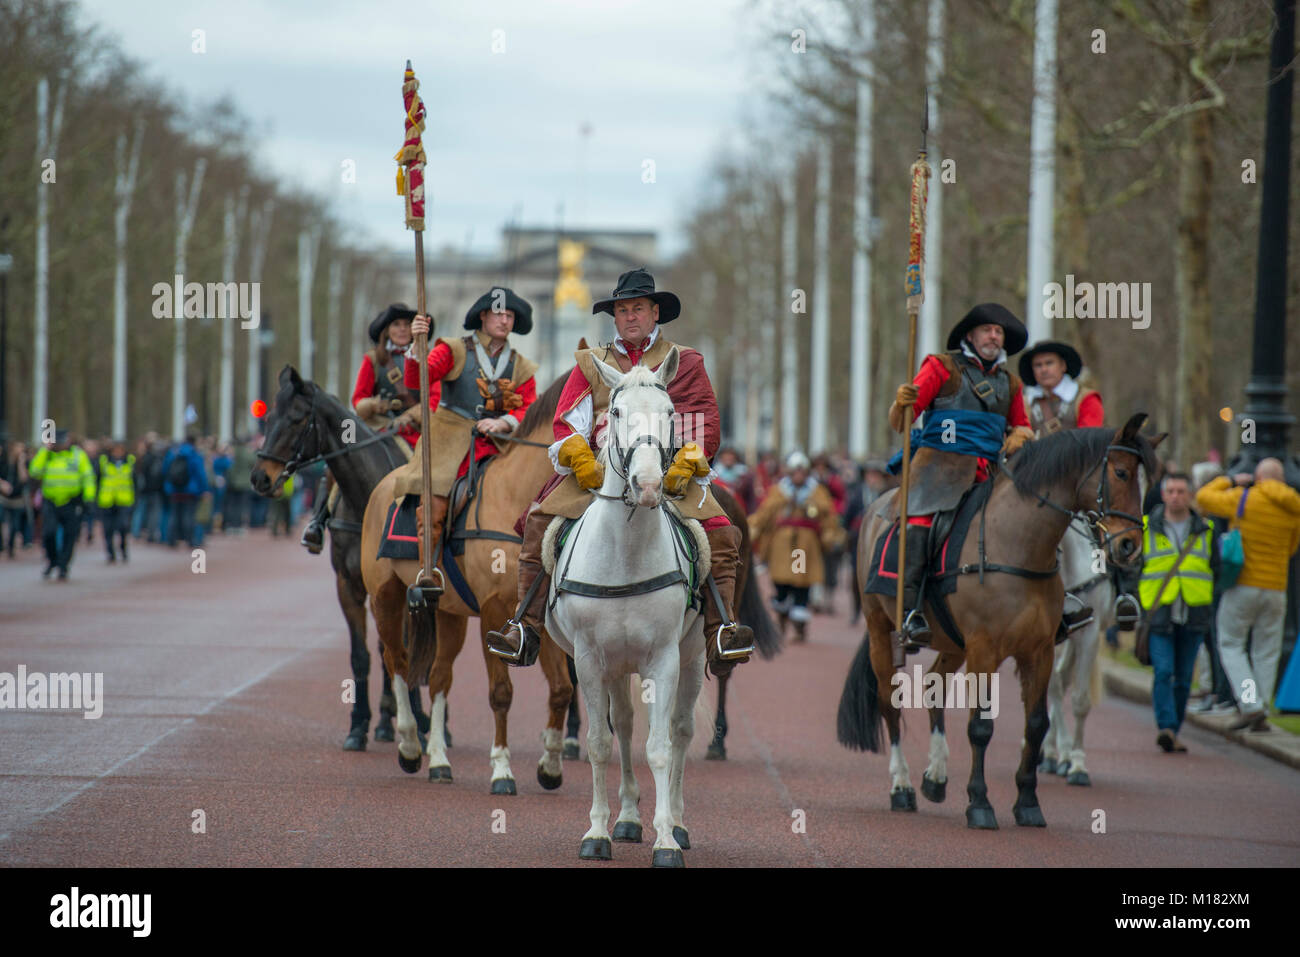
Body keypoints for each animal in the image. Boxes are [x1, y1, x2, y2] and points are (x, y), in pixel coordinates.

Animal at [252, 369, 431, 754]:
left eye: (297, 419)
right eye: (269, 417)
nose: (260, 477)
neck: (367, 499)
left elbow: (401, 650)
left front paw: (418, 726)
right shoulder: (348, 586)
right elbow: (362, 656)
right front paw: (359, 726)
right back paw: (387, 722)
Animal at [358, 374, 577, 790]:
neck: (516, 496)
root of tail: (383, 487)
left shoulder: (535, 616)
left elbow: (561, 690)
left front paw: (551, 766)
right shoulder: (494, 612)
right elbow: (501, 693)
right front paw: (502, 770)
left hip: (450, 613)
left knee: (439, 676)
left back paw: (439, 762)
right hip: (385, 599)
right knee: (398, 662)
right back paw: (409, 747)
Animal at [543, 348, 707, 868]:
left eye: (671, 412)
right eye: (615, 412)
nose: (650, 484)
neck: (626, 553)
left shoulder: (664, 659)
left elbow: (660, 747)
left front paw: (666, 840)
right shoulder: (590, 660)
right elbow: (600, 743)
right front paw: (598, 832)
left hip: (691, 657)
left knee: (679, 731)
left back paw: (677, 821)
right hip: (616, 665)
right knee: (627, 727)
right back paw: (629, 818)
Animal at [1040, 514, 1112, 785]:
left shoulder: (1089, 634)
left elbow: (1079, 699)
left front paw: (1077, 764)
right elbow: (1053, 689)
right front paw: (1060, 753)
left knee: (1065, 678)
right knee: (1059, 682)